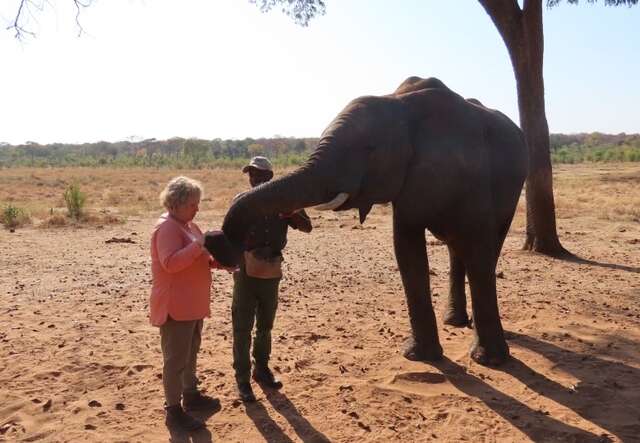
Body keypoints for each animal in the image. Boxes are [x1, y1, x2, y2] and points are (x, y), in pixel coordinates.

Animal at [221, 76, 528, 366]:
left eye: (369, 149)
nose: (222, 244)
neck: (401, 104)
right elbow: (407, 250)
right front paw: (420, 356)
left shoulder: (474, 176)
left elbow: (478, 251)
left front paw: (491, 361)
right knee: (456, 249)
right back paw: (453, 321)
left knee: (487, 246)